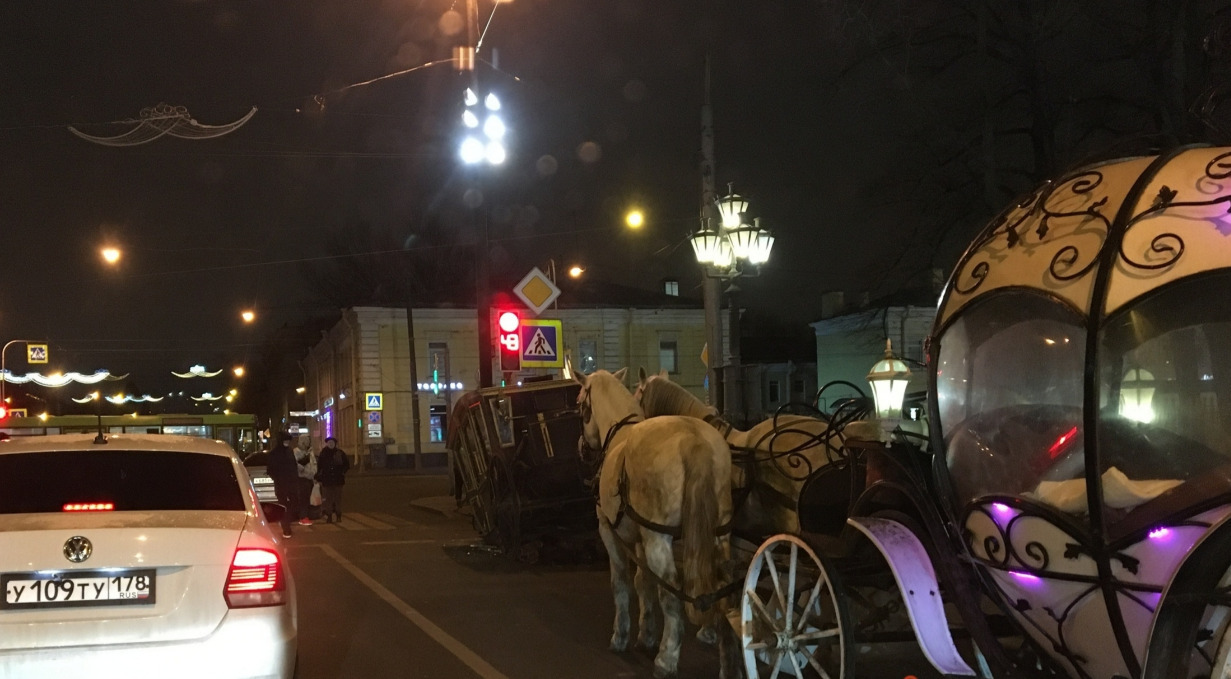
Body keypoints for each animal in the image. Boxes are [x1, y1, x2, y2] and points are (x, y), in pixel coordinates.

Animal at [576, 369, 738, 679]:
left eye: (580, 405)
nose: (581, 447)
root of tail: (693, 440)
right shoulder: (639, 539)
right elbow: (644, 582)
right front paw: (646, 634)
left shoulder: (611, 533)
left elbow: (622, 583)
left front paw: (622, 635)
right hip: (718, 536)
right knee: (723, 593)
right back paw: (726, 663)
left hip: (658, 540)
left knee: (672, 595)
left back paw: (666, 659)